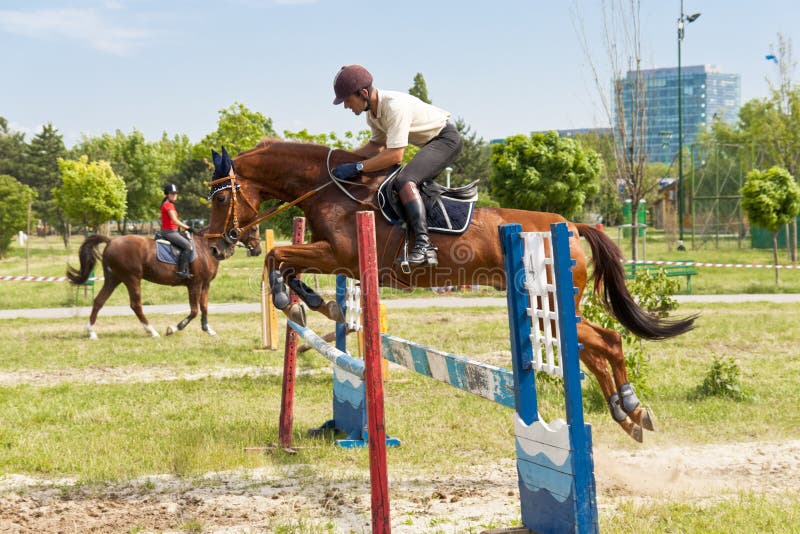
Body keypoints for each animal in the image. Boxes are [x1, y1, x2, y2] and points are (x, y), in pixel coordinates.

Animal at [68, 228, 260, 342]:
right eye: (254, 229)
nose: (258, 249)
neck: (208, 247)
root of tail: (111, 241)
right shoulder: (195, 284)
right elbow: (194, 310)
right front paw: (173, 328)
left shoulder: (205, 285)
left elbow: (204, 307)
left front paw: (208, 329)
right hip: (131, 278)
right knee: (135, 304)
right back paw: (152, 331)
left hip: (113, 278)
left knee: (99, 301)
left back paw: (91, 332)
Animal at [205, 141, 692, 444]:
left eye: (219, 198)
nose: (214, 245)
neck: (334, 191)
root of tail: (569, 224)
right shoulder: (334, 259)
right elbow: (285, 262)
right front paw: (312, 302)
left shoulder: (340, 255)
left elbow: (276, 257)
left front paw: (291, 300)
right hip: (554, 307)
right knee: (591, 349)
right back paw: (625, 413)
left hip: (551, 301)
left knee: (607, 340)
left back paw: (631, 406)